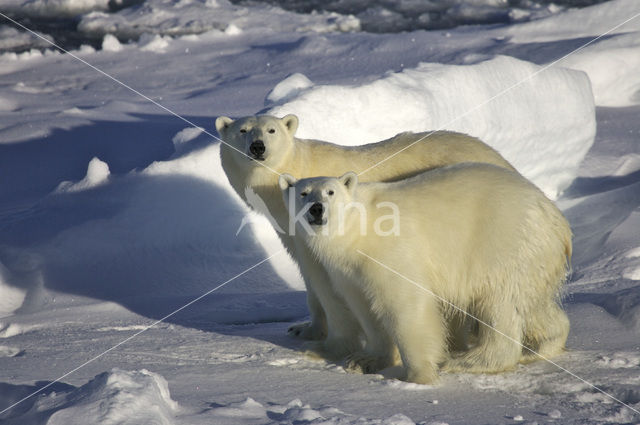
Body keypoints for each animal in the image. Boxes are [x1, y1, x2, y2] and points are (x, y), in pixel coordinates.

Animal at [215, 113, 516, 358]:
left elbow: (323, 278)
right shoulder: (289, 227)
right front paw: (304, 329)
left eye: (271, 130)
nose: (257, 147)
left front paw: (331, 341)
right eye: (243, 130)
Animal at [278, 164, 568, 382]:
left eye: (330, 191)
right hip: (532, 258)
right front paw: (365, 360)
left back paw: (468, 361)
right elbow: (366, 308)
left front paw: (417, 376)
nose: (317, 208)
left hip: (503, 243)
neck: (360, 230)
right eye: (303, 193)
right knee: (532, 305)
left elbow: (406, 305)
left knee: (500, 303)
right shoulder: (349, 270)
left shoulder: (391, 252)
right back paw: (540, 347)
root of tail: (554, 215)